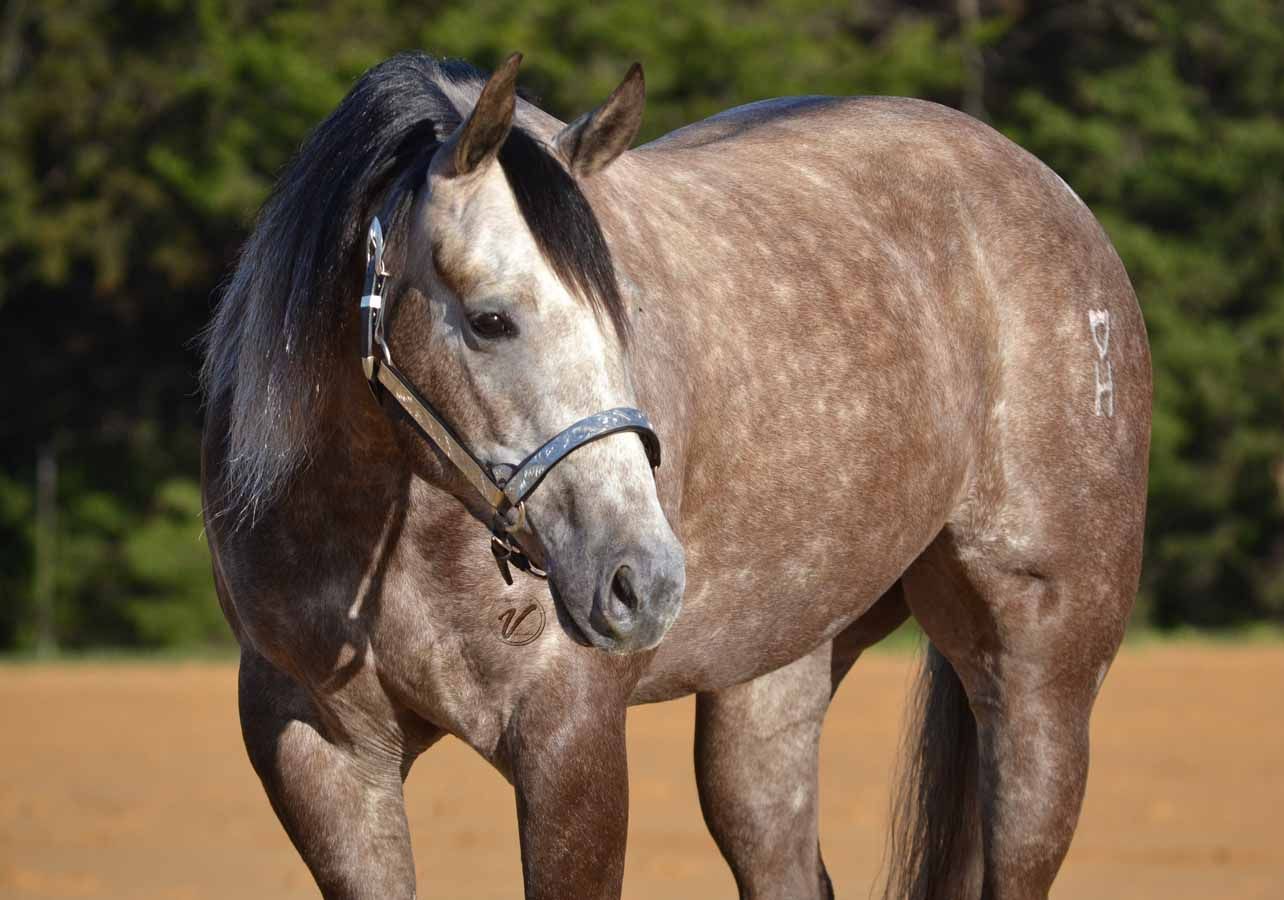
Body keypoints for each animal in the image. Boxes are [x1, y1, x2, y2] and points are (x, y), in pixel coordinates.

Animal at [201, 51, 1150, 900]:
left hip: (1039, 685)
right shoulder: (318, 748)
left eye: (622, 312)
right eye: (491, 319)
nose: (642, 580)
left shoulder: (570, 741)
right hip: (771, 688)